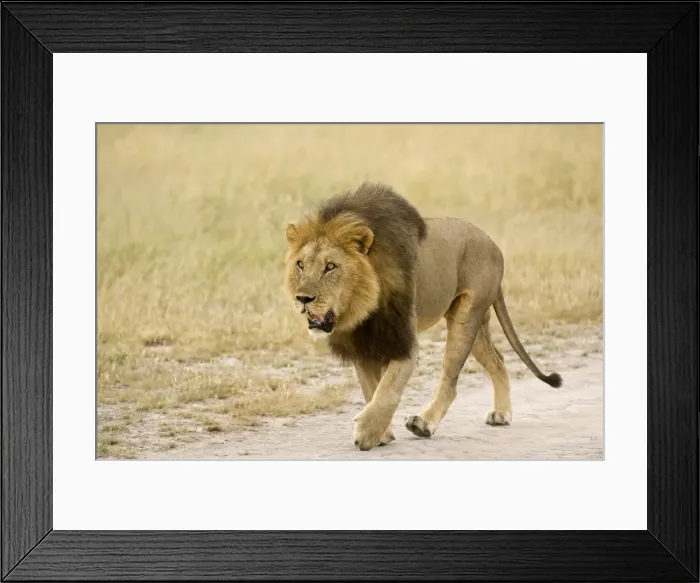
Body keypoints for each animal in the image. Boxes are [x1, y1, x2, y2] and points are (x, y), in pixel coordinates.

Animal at [284, 182, 562, 451]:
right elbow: (372, 390)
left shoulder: (404, 343)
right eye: (300, 265)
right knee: (498, 360)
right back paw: (502, 413)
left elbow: (387, 390)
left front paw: (367, 432)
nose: (303, 298)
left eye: (330, 267)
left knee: (450, 380)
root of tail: (494, 246)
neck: (363, 309)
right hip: (476, 325)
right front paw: (382, 434)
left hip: (466, 318)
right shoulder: (362, 347)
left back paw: (424, 423)